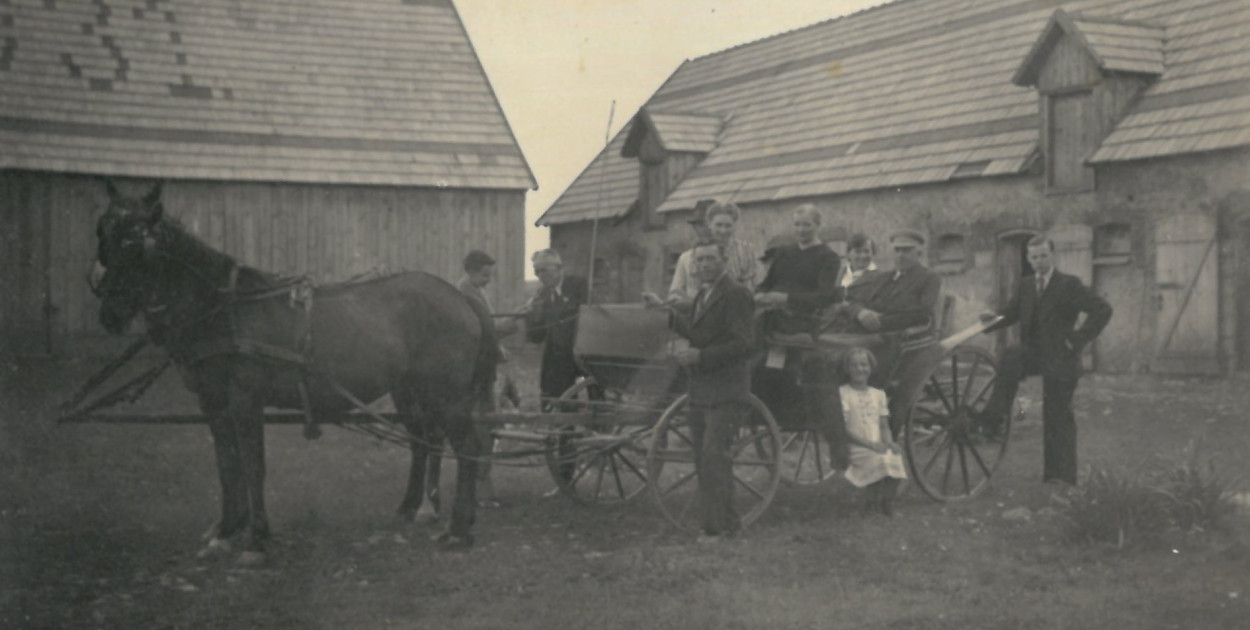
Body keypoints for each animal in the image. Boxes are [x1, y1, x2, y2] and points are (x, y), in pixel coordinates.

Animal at [92, 180, 495, 557]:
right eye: (103, 234)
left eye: (133, 241)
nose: (110, 314)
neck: (223, 309)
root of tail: (461, 298)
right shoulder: (213, 403)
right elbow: (227, 464)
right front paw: (226, 528)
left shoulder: (245, 400)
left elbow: (253, 464)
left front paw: (256, 537)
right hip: (409, 391)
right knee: (422, 441)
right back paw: (414, 508)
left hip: (446, 395)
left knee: (466, 446)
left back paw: (459, 529)